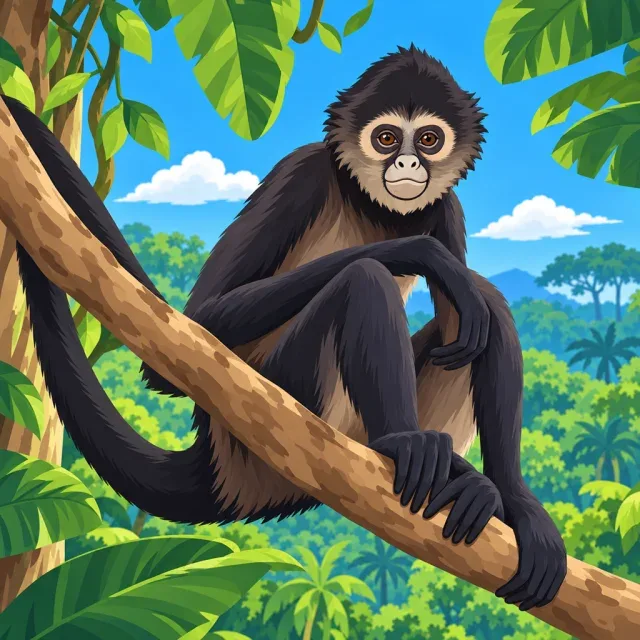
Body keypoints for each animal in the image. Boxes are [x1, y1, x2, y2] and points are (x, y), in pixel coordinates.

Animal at [3, 45, 566, 610]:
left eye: (428, 140)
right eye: (387, 138)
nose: (408, 163)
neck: (370, 204)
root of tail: (220, 455)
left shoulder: (446, 208)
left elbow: (469, 311)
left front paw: (521, 504)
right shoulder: (302, 171)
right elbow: (187, 341)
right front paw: (419, 253)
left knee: (482, 309)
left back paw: (480, 486)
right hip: (292, 395)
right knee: (363, 281)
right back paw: (403, 442)